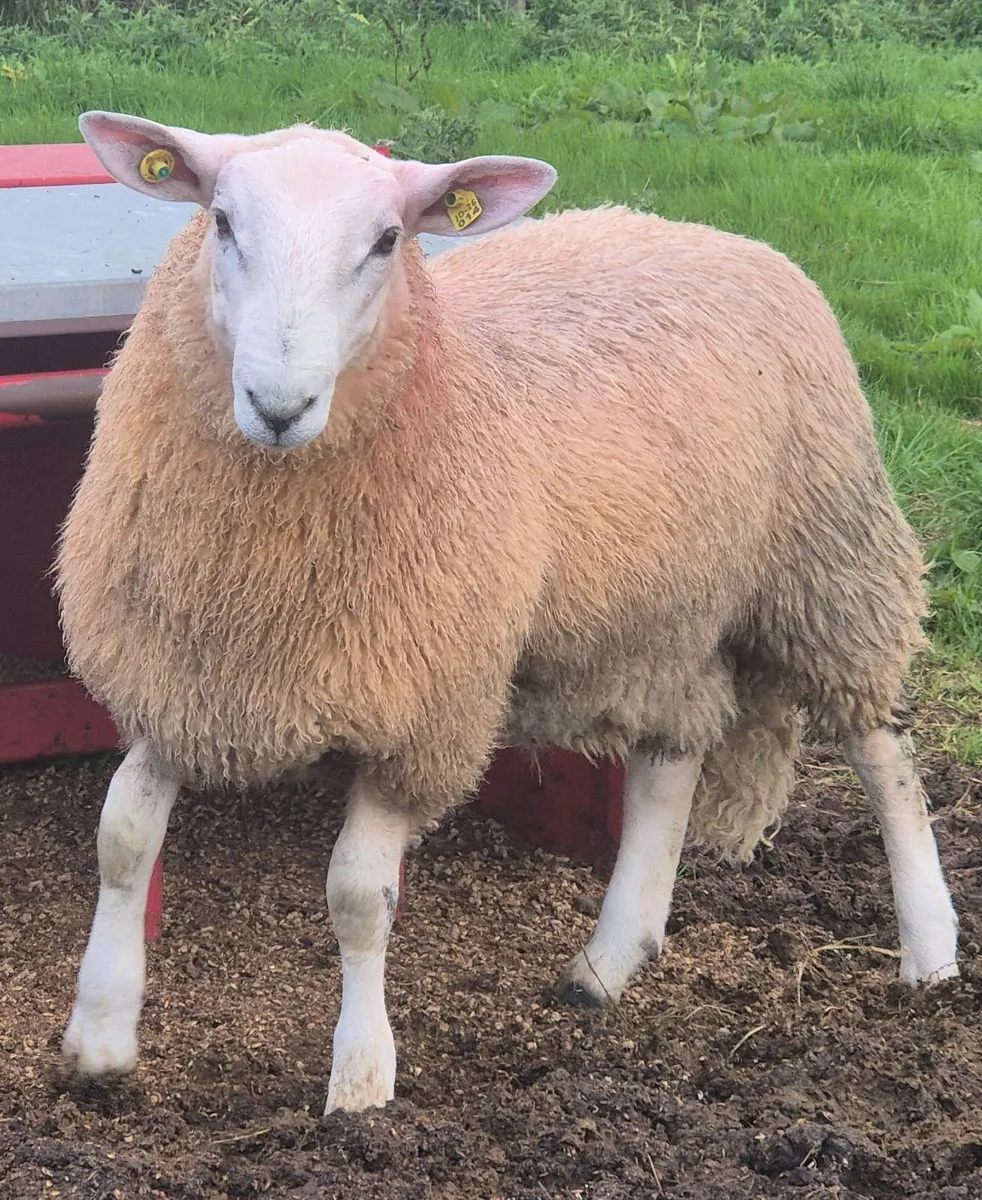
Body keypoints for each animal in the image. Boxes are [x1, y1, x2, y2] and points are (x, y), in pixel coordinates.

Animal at [57, 110, 959, 1116]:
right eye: (220, 221)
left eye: (388, 240)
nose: (279, 405)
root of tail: (710, 232)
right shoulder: (179, 678)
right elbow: (121, 842)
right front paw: (99, 1038)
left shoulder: (422, 714)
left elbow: (359, 899)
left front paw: (361, 1082)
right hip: (665, 610)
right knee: (674, 754)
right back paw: (608, 962)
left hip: (828, 559)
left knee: (885, 751)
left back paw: (930, 954)